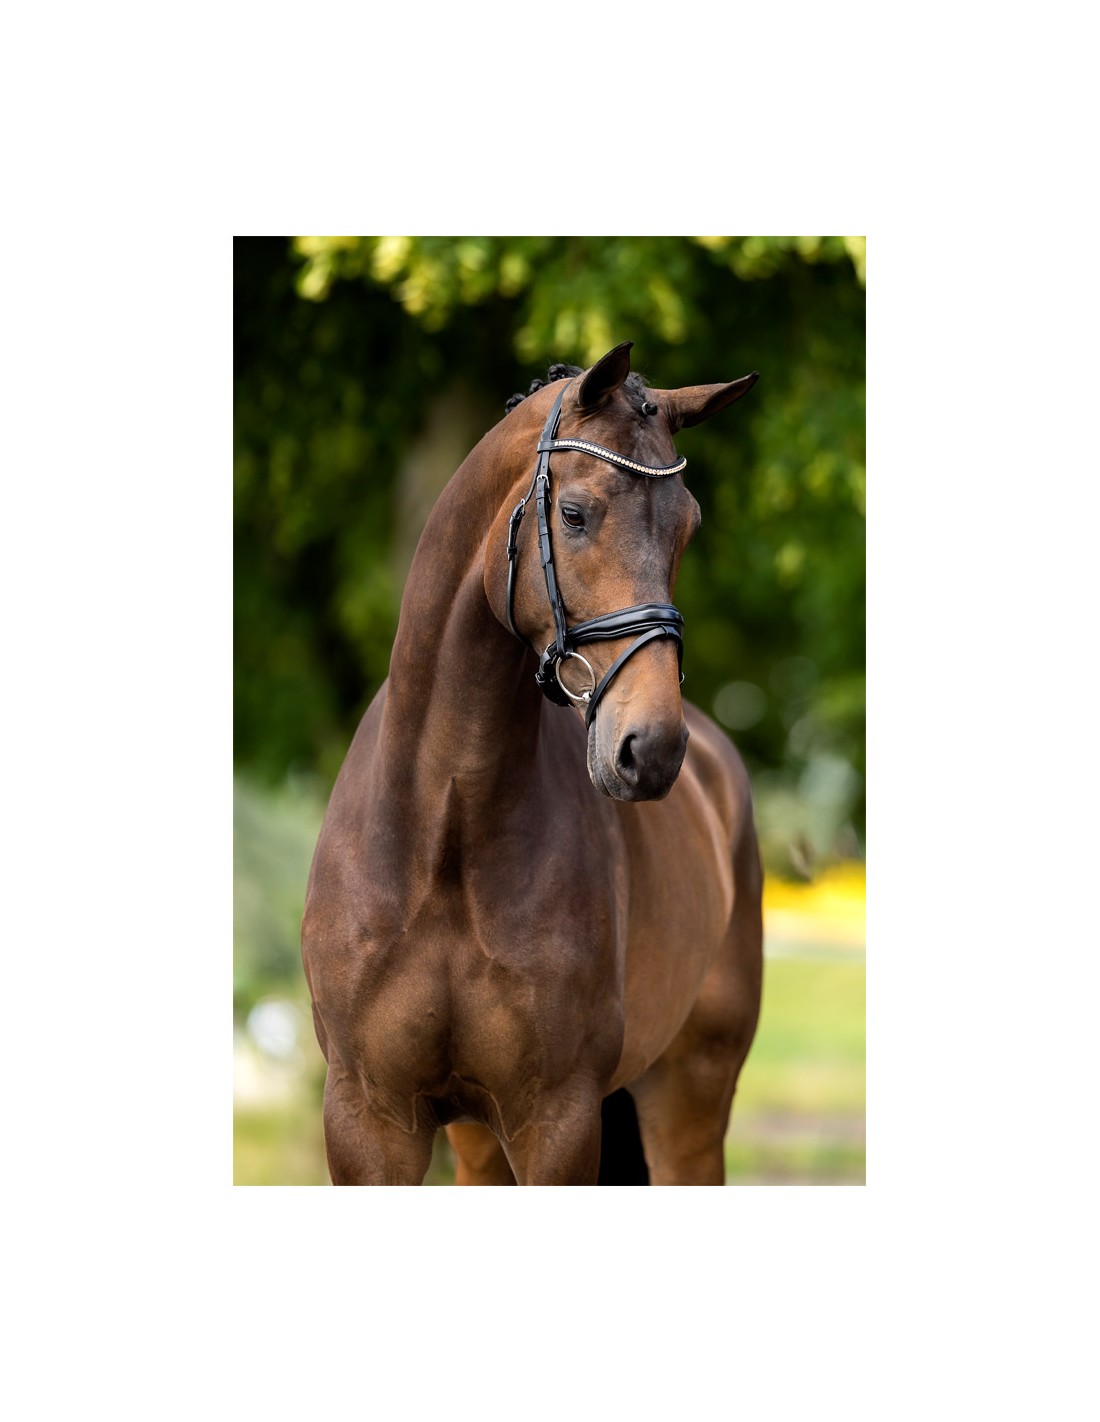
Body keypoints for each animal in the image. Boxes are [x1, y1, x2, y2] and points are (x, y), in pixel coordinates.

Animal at [301, 340, 764, 1185]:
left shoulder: (558, 1121)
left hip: (690, 1096)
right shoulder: (368, 1120)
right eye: (575, 514)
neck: (443, 834)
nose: (652, 748)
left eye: (687, 527)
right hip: (479, 1140)